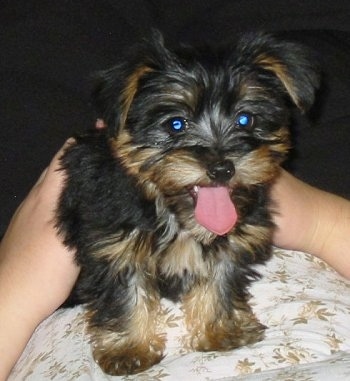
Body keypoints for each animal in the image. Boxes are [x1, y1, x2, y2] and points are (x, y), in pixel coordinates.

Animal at [57, 31, 320, 374]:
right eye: (176, 124)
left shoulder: (235, 234)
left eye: (245, 119)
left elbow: (220, 276)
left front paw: (220, 328)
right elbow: (125, 290)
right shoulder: (113, 242)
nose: (222, 168)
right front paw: (129, 348)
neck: (174, 210)